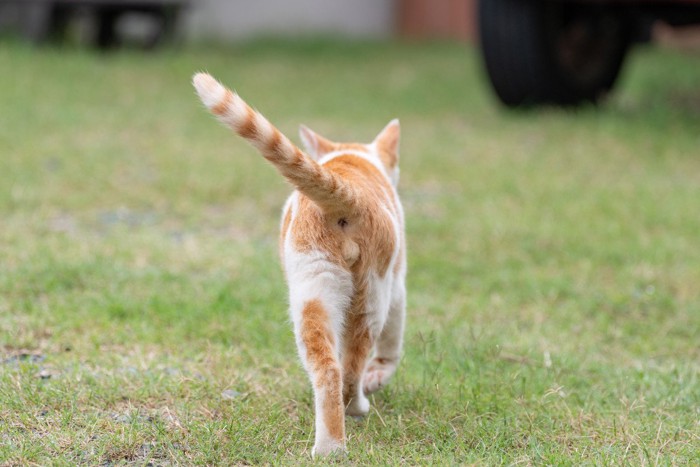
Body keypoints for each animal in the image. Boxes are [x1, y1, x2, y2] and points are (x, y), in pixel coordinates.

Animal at [191, 73, 408, 458]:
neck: (351, 160)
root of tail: (348, 193)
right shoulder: (398, 283)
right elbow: (390, 346)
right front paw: (379, 377)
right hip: (373, 293)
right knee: (352, 364)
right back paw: (357, 409)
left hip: (312, 292)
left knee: (329, 369)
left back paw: (329, 449)